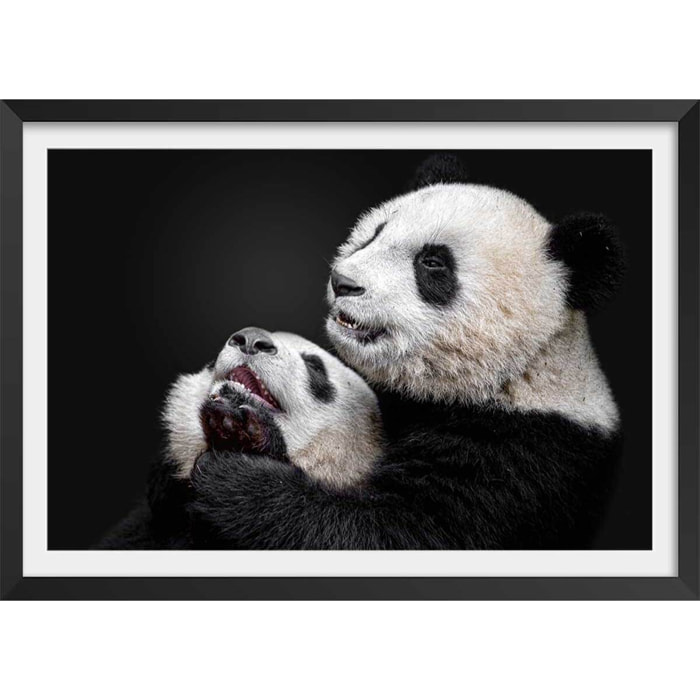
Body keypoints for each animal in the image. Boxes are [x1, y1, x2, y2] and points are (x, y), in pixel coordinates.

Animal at [186, 155, 625, 550]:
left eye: (432, 263)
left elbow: (397, 532)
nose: (343, 282)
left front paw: (239, 469)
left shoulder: (522, 456)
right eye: (375, 233)